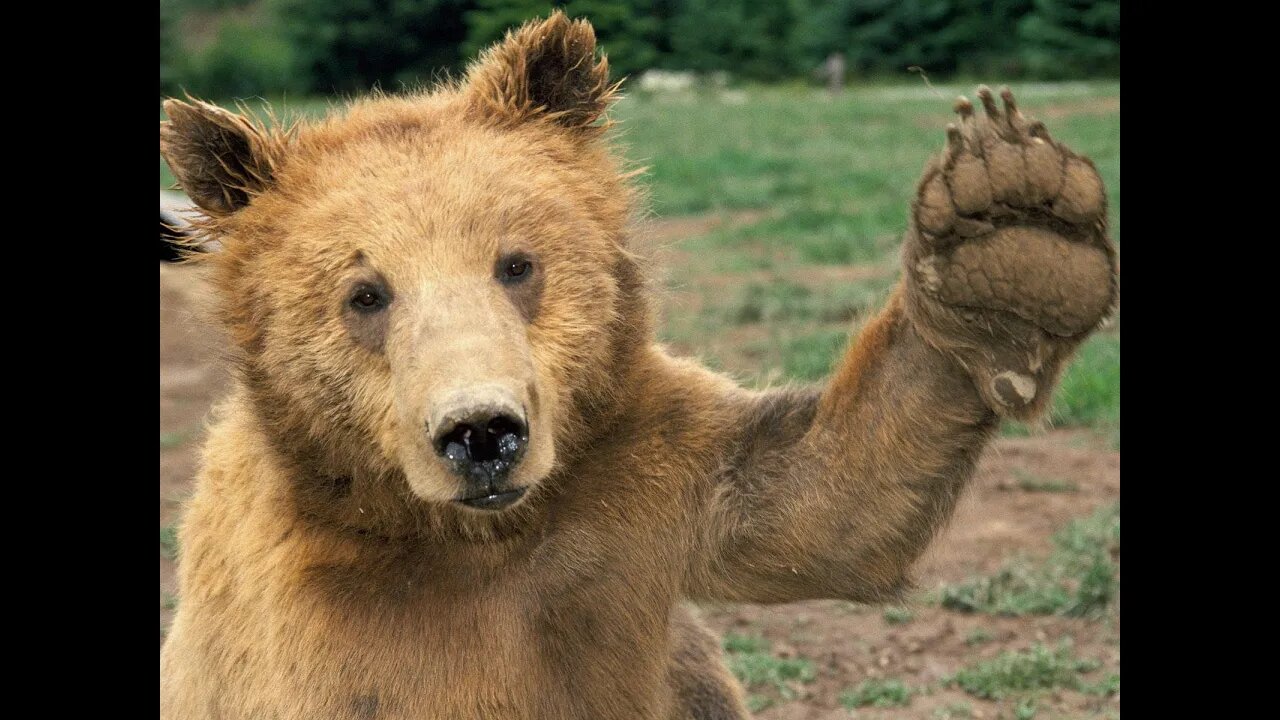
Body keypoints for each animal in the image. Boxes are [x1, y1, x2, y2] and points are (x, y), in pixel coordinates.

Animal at [158, 11, 1117, 720]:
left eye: (517, 262)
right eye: (365, 293)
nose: (482, 433)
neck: (468, 540)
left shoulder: (632, 491)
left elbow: (824, 500)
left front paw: (1011, 240)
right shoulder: (318, 627)